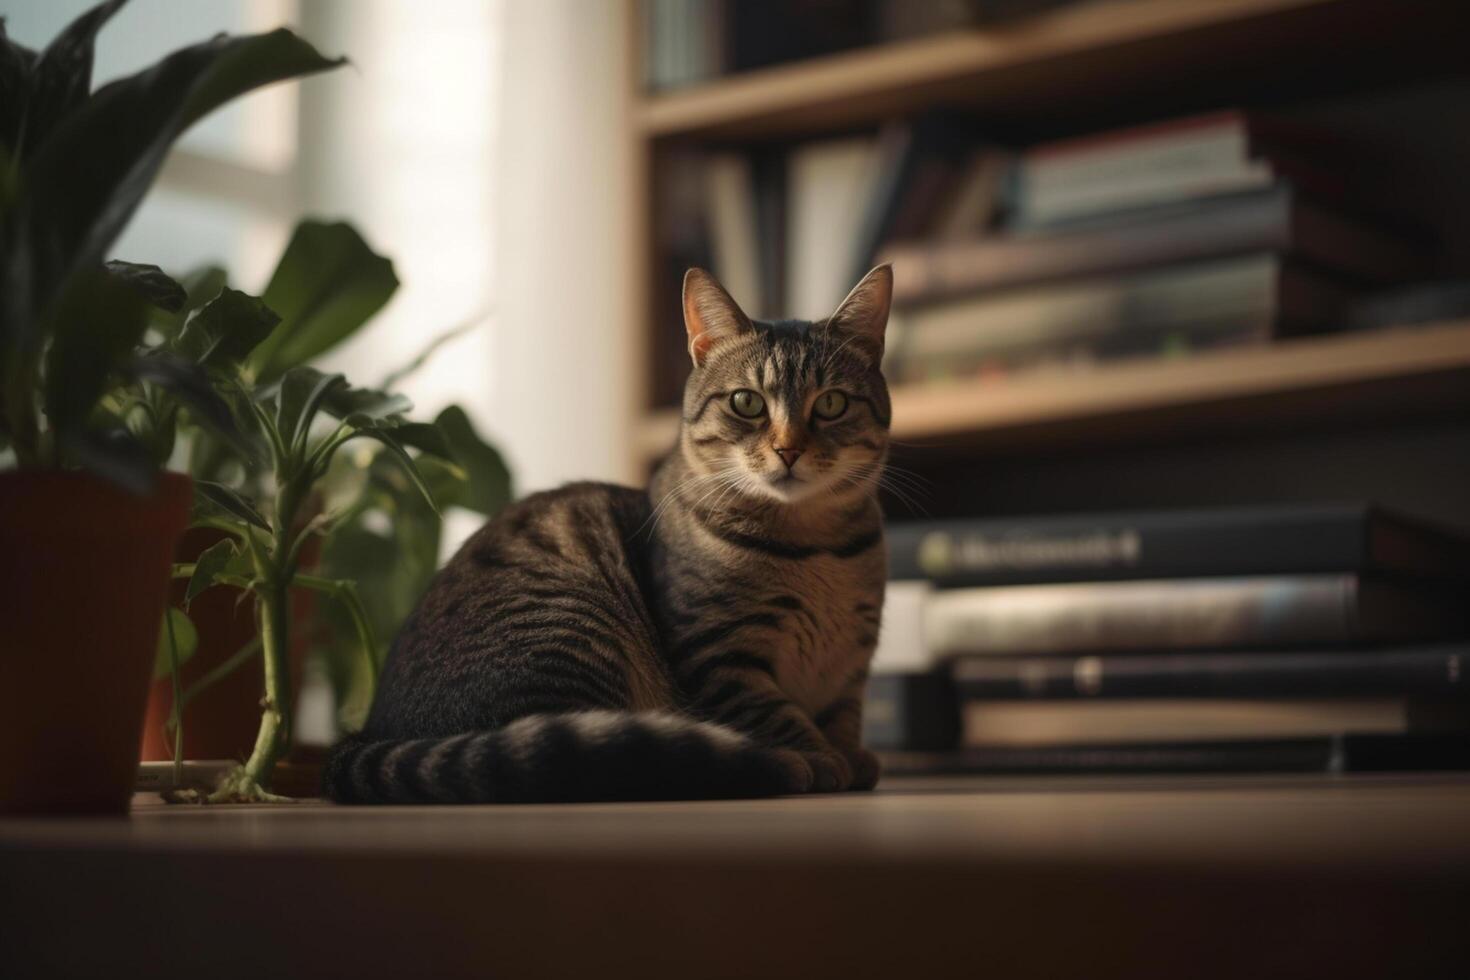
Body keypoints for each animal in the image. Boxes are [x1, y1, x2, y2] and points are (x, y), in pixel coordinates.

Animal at [323, 264, 887, 799]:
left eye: (831, 403)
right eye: (746, 403)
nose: (789, 450)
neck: (816, 549)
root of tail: (370, 737)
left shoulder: (852, 664)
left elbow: (845, 716)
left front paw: (853, 756)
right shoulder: (721, 655)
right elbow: (778, 715)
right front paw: (822, 759)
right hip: (571, 642)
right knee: (607, 754)